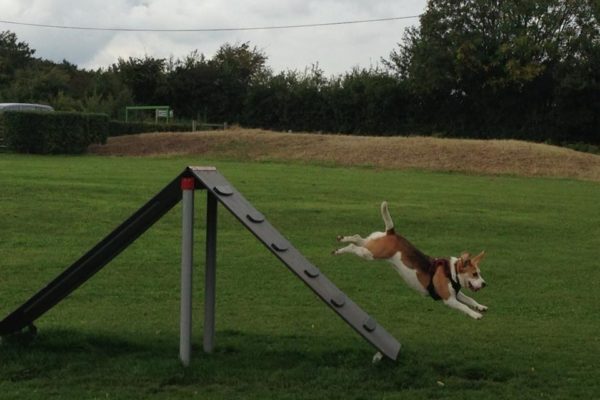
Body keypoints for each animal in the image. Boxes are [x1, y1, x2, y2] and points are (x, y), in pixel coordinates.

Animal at [332, 202, 488, 320]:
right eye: (474, 274)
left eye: (479, 273)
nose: (484, 284)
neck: (451, 272)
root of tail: (392, 232)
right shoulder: (449, 299)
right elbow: (464, 306)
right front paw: (475, 314)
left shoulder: (456, 294)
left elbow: (470, 300)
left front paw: (480, 306)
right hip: (371, 254)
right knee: (354, 246)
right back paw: (340, 248)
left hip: (371, 245)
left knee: (358, 238)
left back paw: (341, 241)